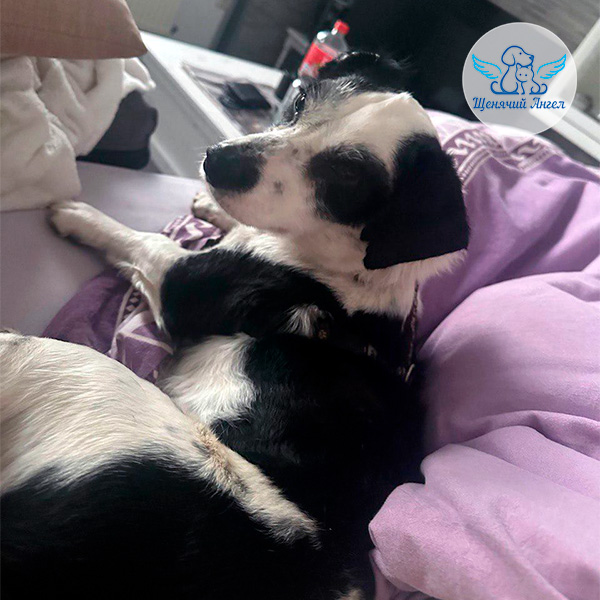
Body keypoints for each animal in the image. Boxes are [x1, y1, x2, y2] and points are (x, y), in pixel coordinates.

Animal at [1, 52, 469, 599]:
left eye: (347, 176)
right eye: (300, 101)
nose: (217, 160)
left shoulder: (182, 284)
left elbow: (142, 240)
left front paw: (79, 215)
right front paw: (209, 206)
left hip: (81, 377)